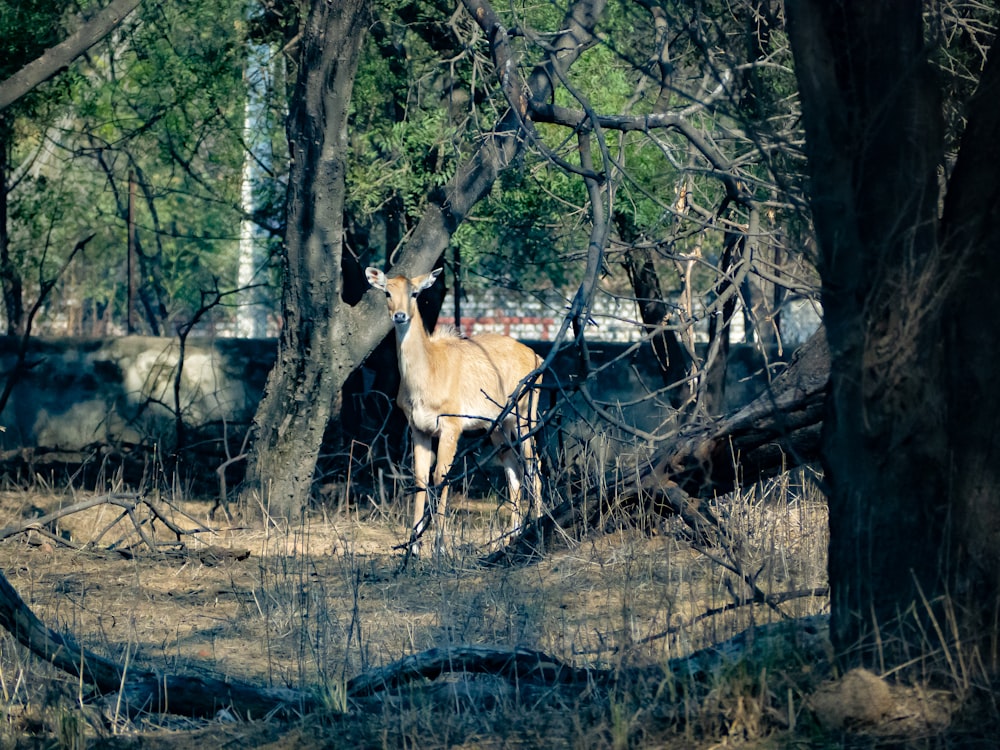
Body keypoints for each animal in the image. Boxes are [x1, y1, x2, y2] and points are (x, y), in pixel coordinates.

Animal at [366, 268, 544, 556]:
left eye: (415, 293)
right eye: (387, 293)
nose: (400, 316)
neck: (426, 376)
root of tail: (537, 356)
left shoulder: (451, 425)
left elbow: (442, 475)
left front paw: (440, 547)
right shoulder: (418, 427)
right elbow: (420, 477)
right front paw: (413, 548)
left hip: (525, 414)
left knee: (533, 464)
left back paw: (534, 529)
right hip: (498, 425)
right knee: (514, 469)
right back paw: (512, 536)